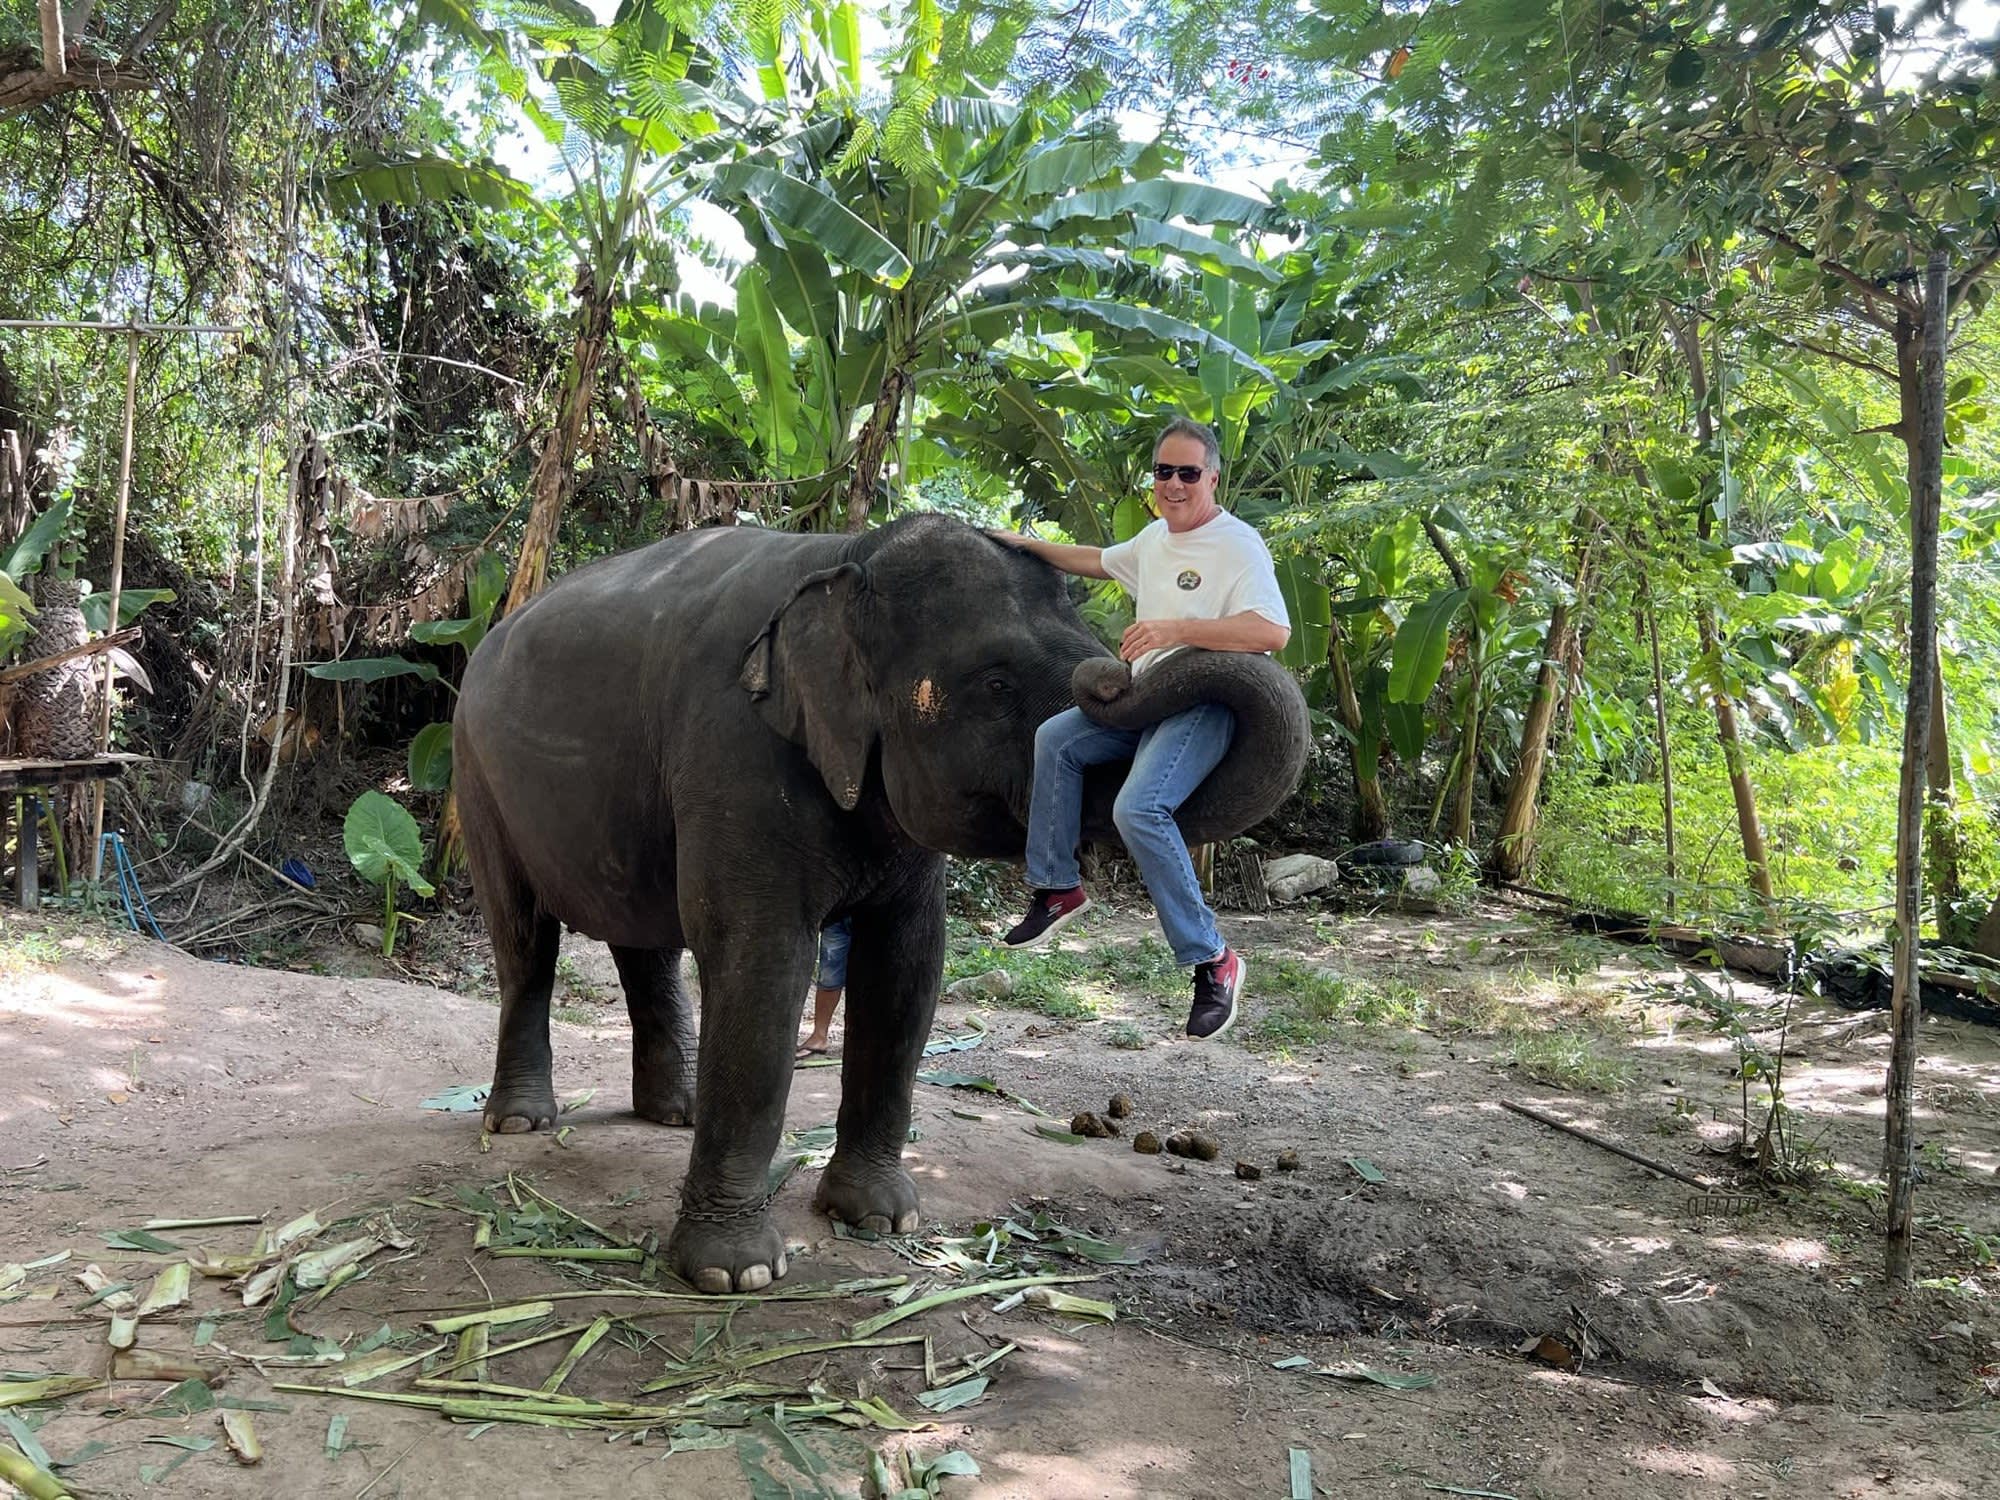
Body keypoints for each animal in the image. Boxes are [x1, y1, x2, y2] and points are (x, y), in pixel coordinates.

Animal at [452, 513, 1307, 1293]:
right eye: (996, 684)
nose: (1110, 672)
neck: (845, 556)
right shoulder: (733, 751)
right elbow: (763, 965)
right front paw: (736, 1273)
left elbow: (906, 966)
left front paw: (882, 1218)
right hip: (477, 774)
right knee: (526, 940)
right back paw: (522, 1121)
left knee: (645, 942)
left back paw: (679, 1112)